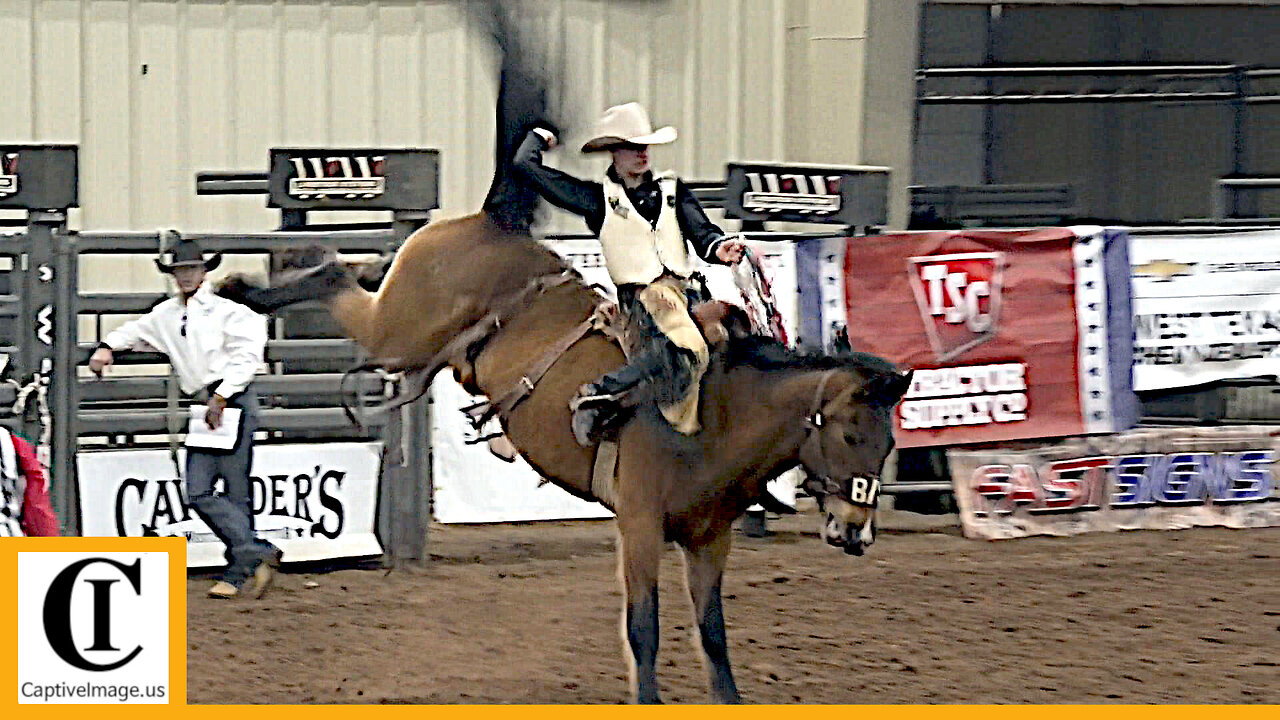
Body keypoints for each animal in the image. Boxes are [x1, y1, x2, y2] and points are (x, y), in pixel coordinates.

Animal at [222, 0, 911, 702]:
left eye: (888, 442)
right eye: (851, 434)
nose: (857, 530)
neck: (719, 415)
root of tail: (495, 218)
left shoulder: (708, 540)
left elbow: (714, 640)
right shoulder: (639, 525)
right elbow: (644, 631)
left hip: (411, 342)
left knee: (353, 272)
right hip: (398, 331)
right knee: (338, 277)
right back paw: (242, 288)